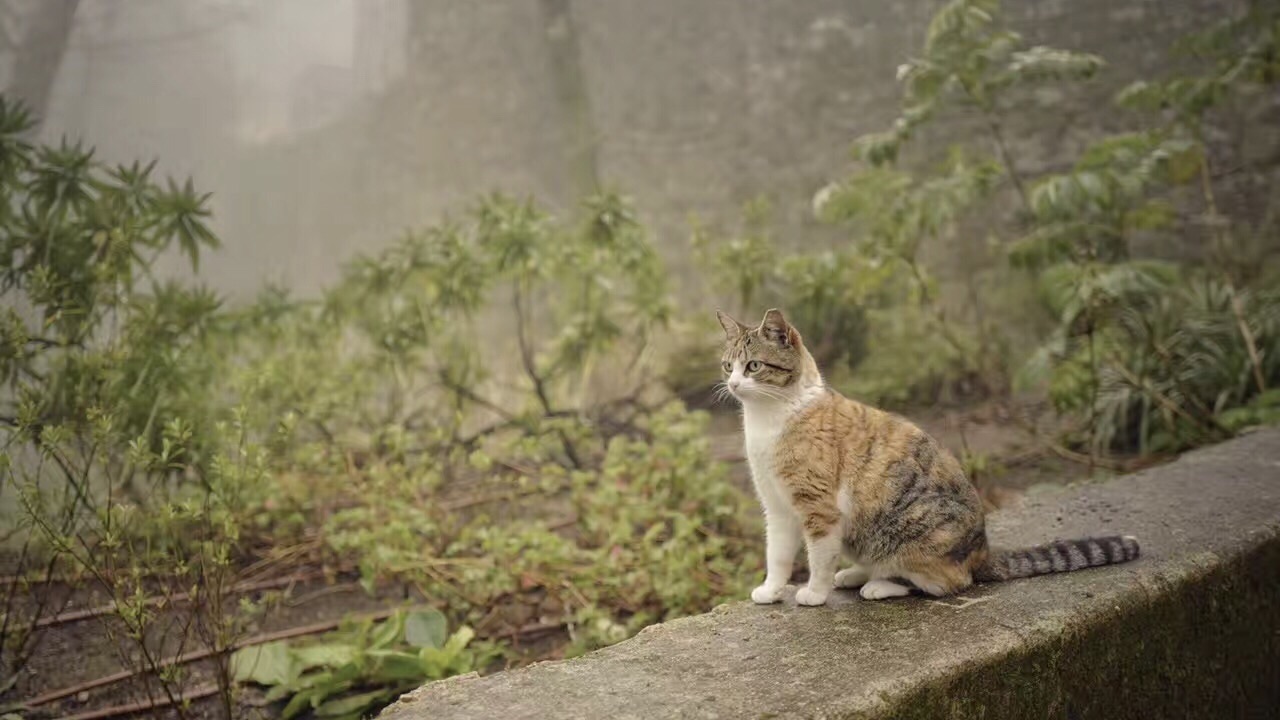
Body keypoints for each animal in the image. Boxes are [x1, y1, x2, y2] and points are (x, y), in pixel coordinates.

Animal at [716, 304, 1146, 602]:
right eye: (727, 365)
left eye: (753, 366)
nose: (733, 384)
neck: (769, 419)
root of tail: (982, 550)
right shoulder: (777, 508)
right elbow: (777, 555)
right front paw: (772, 591)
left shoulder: (818, 508)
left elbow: (819, 557)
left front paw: (814, 594)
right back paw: (856, 574)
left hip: (913, 530)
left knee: (945, 582)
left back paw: (879, 585)